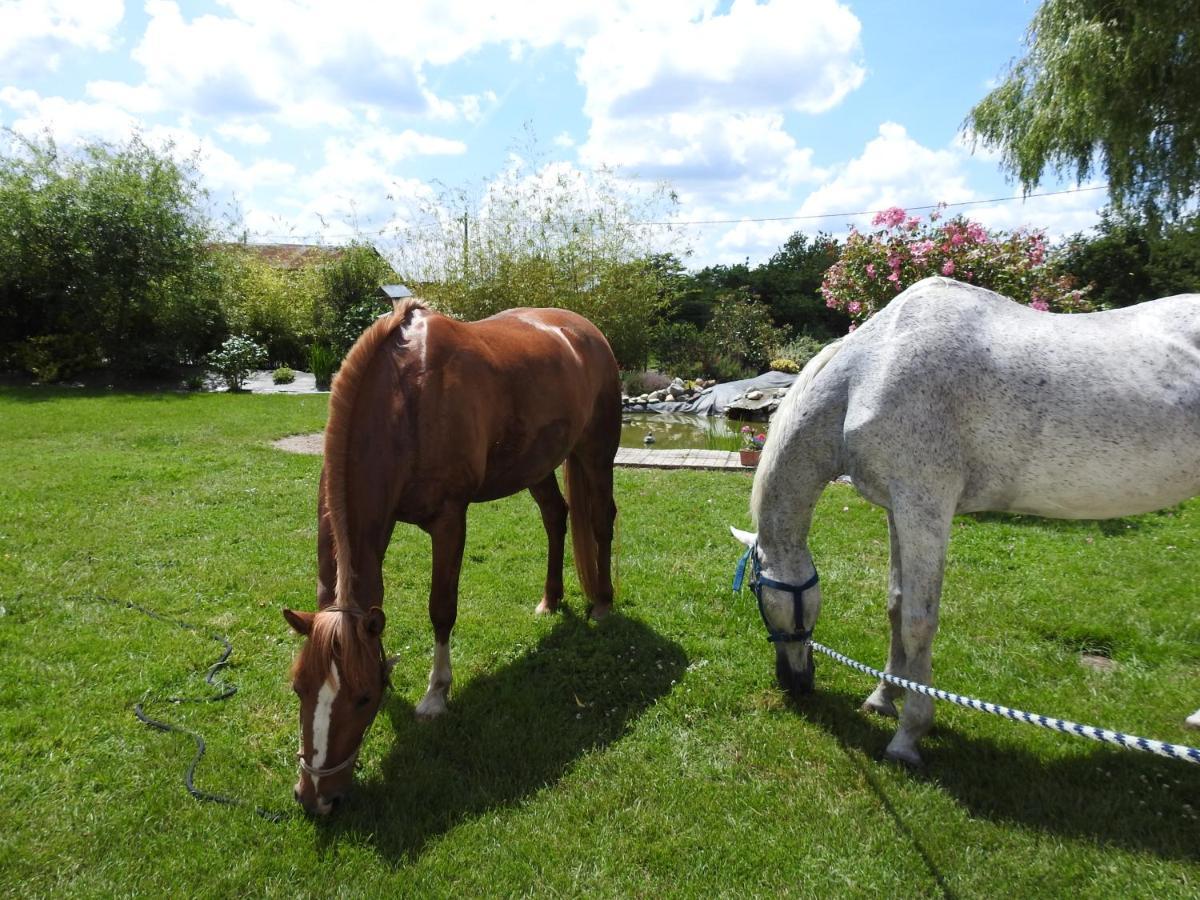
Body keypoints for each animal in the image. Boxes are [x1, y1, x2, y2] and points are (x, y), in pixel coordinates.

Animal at [280, 297, 619, 816]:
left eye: (362, 699)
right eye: (299, 686)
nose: (316, 799)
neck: (406, 398)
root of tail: (586, 330)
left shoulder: (449, 520)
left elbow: (441, 608)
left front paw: (436, 695)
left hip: (598, 453)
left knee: (601, 521)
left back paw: (601, 603)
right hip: (536, 465)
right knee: (555, 516)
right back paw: (550, 600)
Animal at [729, 277, 1200, 768]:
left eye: (755, 590)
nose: (795, 684)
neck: (870, 370)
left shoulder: (925, 507)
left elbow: (918, 620)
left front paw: (908, 735)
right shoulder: (898, 508)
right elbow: (896, 604)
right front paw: (884, 697)